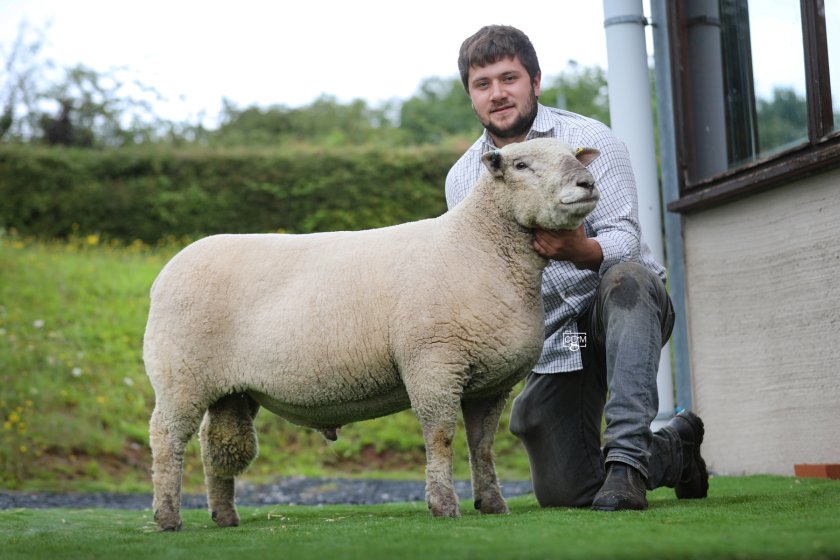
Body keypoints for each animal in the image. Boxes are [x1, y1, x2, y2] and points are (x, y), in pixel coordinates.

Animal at [143, 138, 596, 532]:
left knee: (216, 446)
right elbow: (441, 437)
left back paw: (224, 516)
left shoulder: (490, 383)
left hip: (230, 390)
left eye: (574, 155)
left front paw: (493, 504)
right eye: (521, 165)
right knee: (167, 439)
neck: (478, 246)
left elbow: (482, 446)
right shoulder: (434, 364)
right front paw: (443, 505)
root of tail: (170, 268)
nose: (587, 183)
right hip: (180, 376)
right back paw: (168, 518)